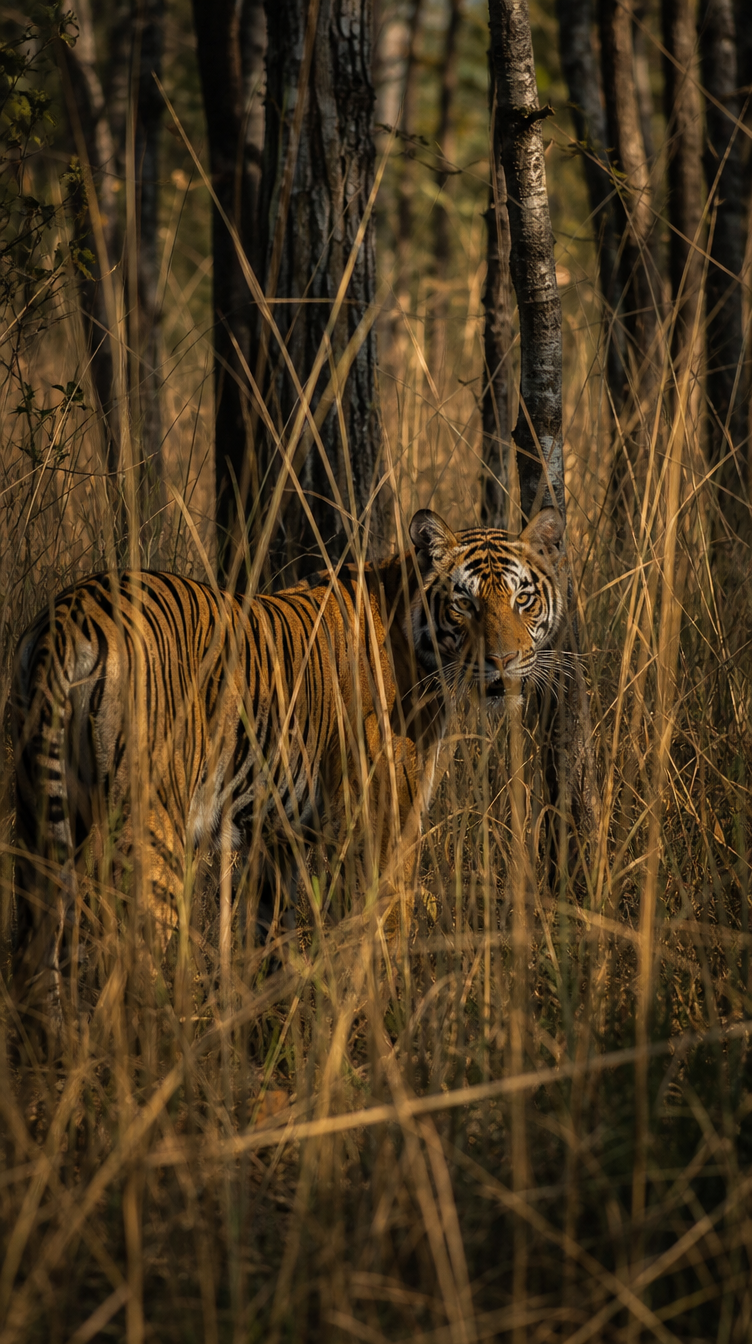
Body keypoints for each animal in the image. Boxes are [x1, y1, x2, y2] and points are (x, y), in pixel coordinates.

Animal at [10, 506, 565, 1022]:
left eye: (522, 599)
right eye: (464, 603)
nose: (503, 661)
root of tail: (73, 611)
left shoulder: (274, 830)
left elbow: (269, 934)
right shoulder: (385, 814)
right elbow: (386, 919)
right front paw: (387, 1010)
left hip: (39, 820)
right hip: (150, 831)